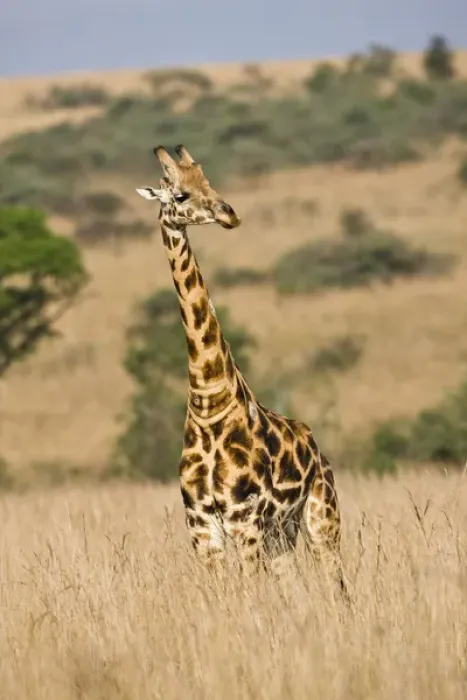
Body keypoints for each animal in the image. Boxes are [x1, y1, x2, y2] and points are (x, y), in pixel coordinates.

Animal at [136, 144, 347, 595]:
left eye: (209, 182)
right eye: (179, 194)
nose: (229, 213)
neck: (208, 400)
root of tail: (317, 447)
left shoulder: (242, 518)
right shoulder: (201, 525)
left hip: (321, 517)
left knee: (337, 585)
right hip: (281, 533)